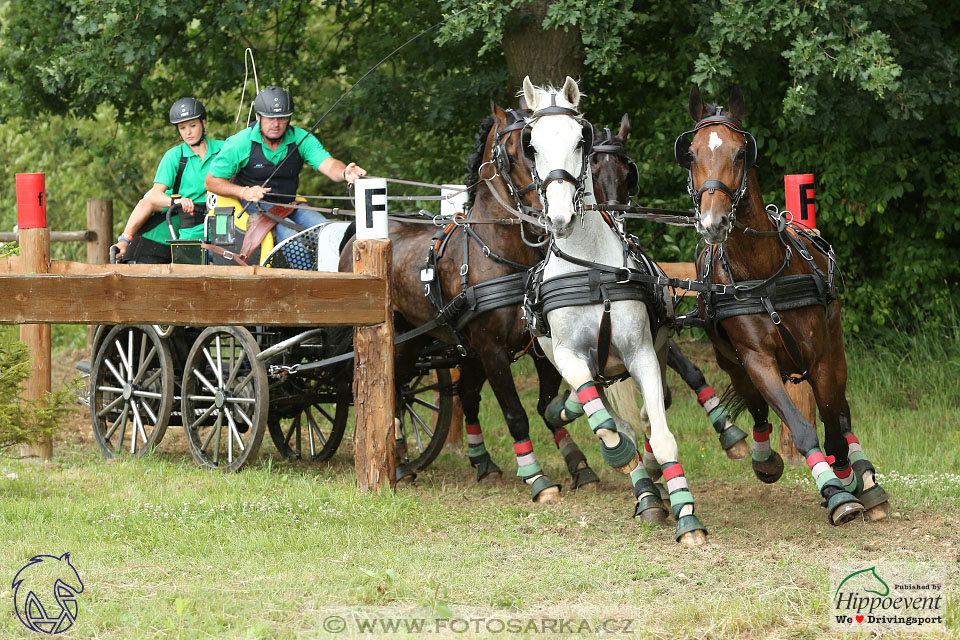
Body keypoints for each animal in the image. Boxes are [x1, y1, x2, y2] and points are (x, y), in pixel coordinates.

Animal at [520, 76, 708, 544]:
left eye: (579, 141)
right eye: (532, 145)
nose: (561, 217)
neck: (590, 268)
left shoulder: (641, 354)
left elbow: (661, 433)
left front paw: (687, 516)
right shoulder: (569, 356)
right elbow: (606, 425)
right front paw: (624, 458)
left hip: (647, 354)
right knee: (601, 411)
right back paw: (641, 488)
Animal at [676, 85, 892, 524]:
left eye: (741, 152)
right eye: (691, 153)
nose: (713, 223)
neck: (764, 275)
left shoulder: (822, 356)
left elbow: (832, 422)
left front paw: (846, 475)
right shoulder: (756, 359)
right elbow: (798, 424)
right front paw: (835, 492)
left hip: (836, 348)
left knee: (841, 412)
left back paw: (864, 477)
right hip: (731, 359)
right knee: (758, 406)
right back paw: (764, 456)